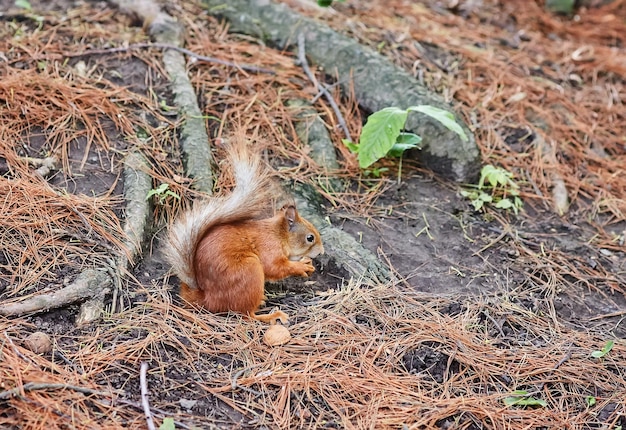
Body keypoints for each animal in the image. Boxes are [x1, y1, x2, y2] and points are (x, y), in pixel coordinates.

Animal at [162, 143, 322, 324]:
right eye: (310, 238)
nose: (321, 251)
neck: (279, 234)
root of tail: (208, 298)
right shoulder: (269, 247)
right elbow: (274, 267)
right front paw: (301, 266)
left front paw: (305, 261)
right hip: (249, 270)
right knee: (247, 315)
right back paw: (271, 315)